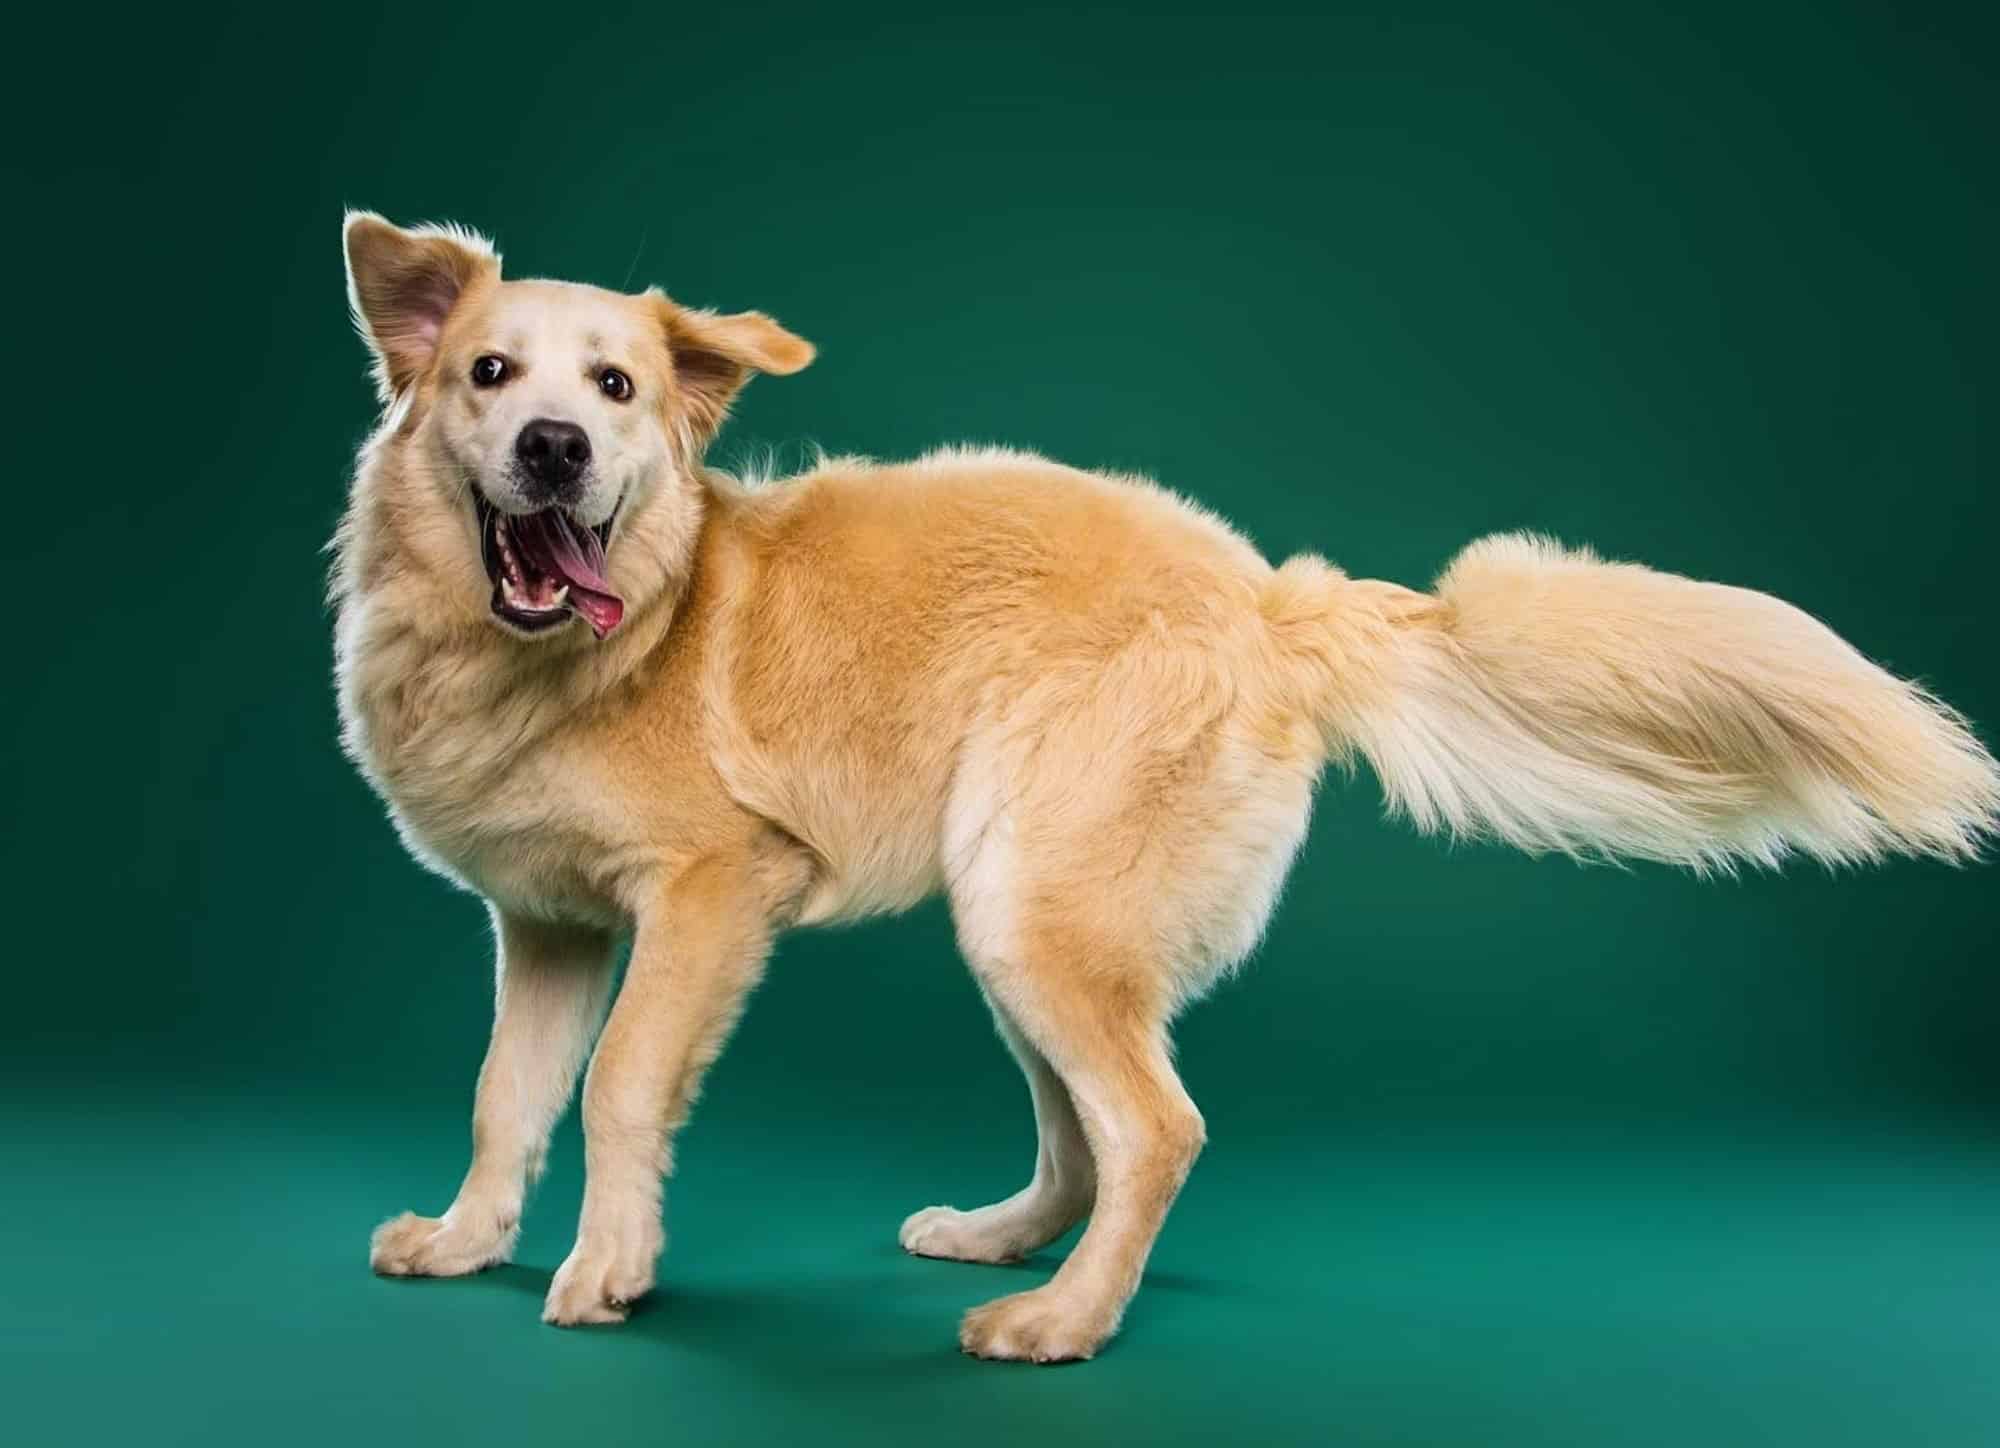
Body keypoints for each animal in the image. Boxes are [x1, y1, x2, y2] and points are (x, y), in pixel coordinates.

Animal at [336, 212, 1992, 1360]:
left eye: (617, 388)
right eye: (490, 375)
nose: (556, 447)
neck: (573, 645)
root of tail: (1266, 594)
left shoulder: (705, 893)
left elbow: (618, 1083)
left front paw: (605, 1269)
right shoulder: (549, 929)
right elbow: (505, 1094)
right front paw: (471, 1239)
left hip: (1038, 915)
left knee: (1154, 1130)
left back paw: (1066, 1326)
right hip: (1024, 920)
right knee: (1083, 1136)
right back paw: (1016, 1249)